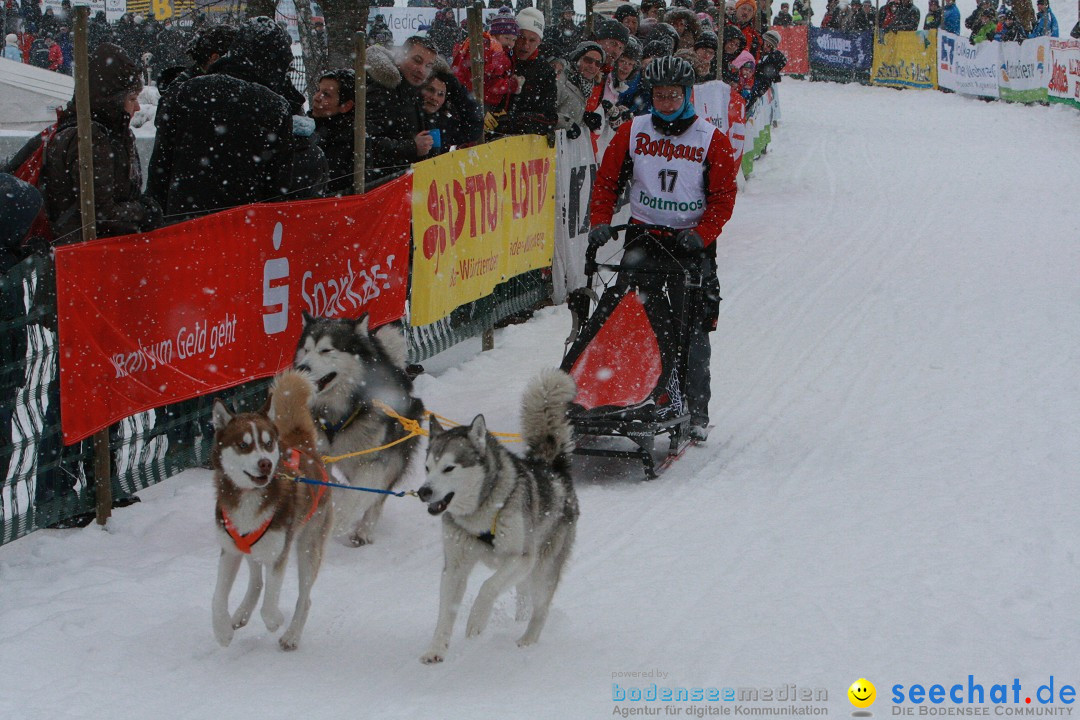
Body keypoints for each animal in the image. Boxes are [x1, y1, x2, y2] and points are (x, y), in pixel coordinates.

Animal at [208, 371, 330, 651]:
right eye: (243, 445)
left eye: (267, 443)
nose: (264, 463)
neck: (249, 498)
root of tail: (304, 446)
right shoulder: (230, 550)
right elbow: (217, 596)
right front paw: (222, 631)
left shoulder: (278, 554)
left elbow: (270, 605)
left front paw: (276, 620)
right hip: (251, 549)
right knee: (257, 581)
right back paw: (241, 613)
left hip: (308, 545)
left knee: (304, 597)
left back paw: (292, 635)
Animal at [291, 313, 425, 546]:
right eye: (306, 350)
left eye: (326, 350)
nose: (302, 368)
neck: (337, 411)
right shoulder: (319, 455)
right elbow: (333, 486)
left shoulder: (375, 461)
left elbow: (358, 495)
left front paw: (341, 518)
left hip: (394, 455)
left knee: (376, 497)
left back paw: (364, 530)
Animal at [416, 371, 578, 664]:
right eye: (427, 467)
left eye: (449, 468)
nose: (424, 491)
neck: (480, 512)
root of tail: (551, 467)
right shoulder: (454, 568)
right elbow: (445, 613)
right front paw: (436, 649)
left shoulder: (521, 557)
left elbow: (488, 586)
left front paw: (477, 620)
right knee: (524, 596)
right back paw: (519, 621)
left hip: (543, 568)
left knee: (541, 607)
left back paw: (527, 639)